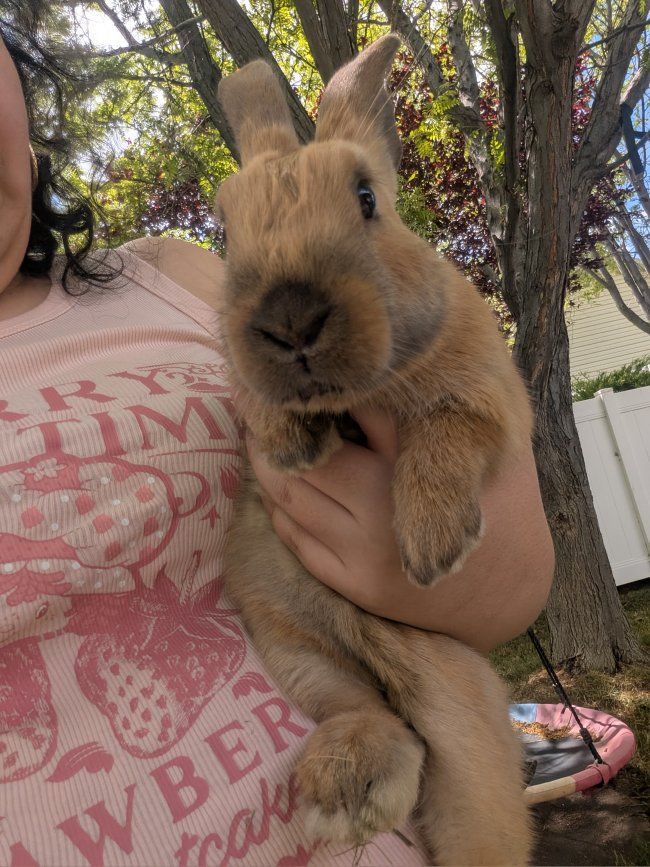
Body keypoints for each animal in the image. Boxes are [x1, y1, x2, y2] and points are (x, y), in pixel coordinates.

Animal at [217, 33, 533, 866]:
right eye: (226, 231)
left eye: (366, 198)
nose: (290, 319)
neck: (355, 402)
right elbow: (258, 406)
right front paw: (289, 445)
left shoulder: (490, 398)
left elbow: (448, 432)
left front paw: (433, 547)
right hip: (293, 640)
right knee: (369, 715)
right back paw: (345, 788)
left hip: (460, 717)